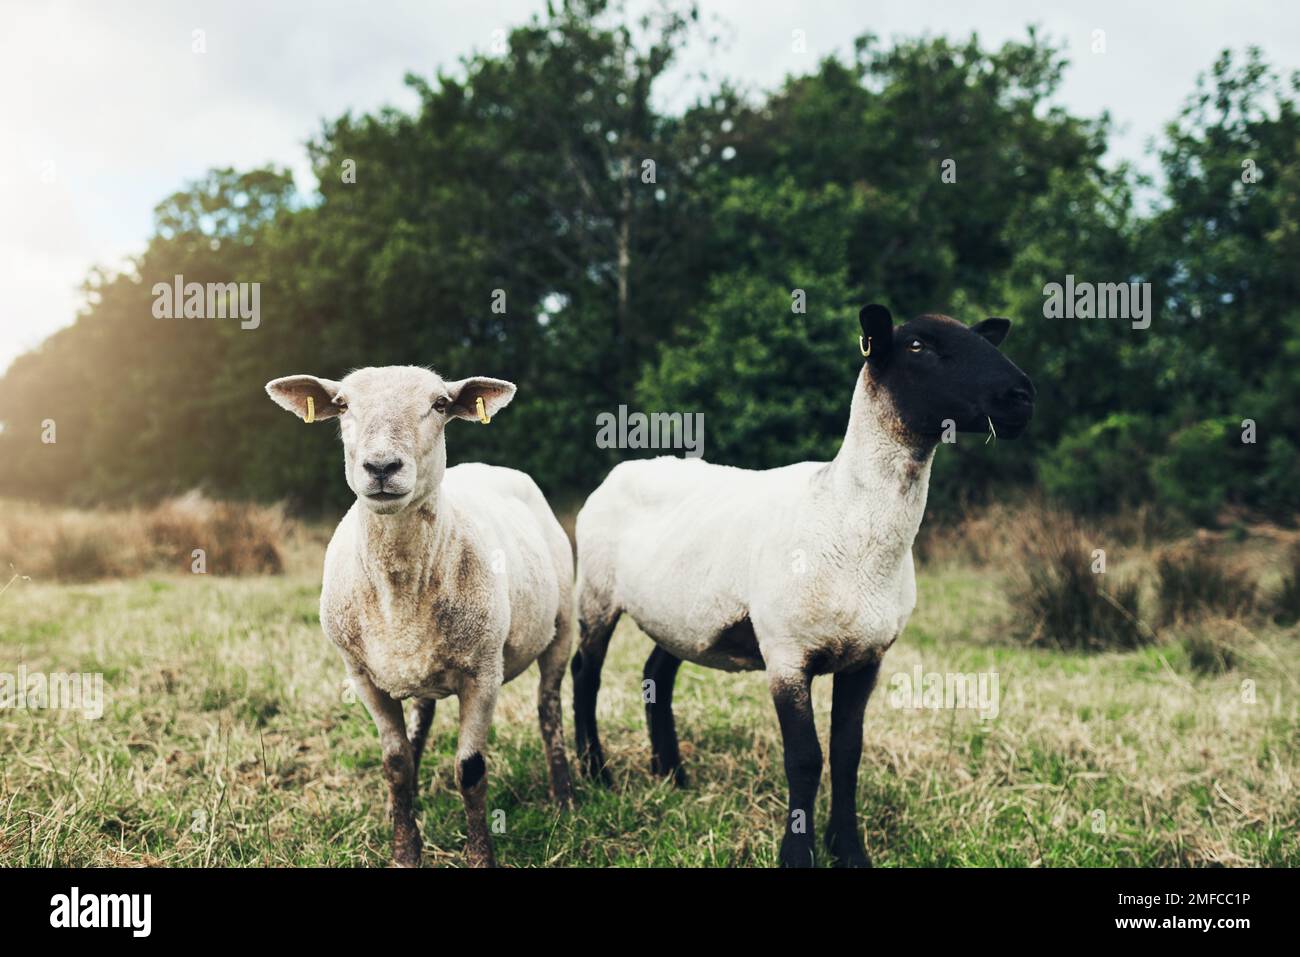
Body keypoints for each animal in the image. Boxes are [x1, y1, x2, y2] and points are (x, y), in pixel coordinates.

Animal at [266, 364, 572, 868]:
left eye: (440, 404)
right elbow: (396, 764)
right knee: (422, 717)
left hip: (563, 627)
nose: (381, 467)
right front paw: (405, 848)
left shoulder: (483, 673)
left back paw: (564, 797)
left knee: (549, 707)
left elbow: (471, 771)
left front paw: (480, 856)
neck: (401, 590)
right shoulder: (363, 677)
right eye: (343, 405)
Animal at [574, 306, 1040, 868]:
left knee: (655, 676)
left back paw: (673, 776)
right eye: (917, 346)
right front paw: (797, 853)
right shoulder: (786, 654)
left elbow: (847, 754)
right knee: (585, 674)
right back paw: (595, 774)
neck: (843, 511)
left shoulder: (867, 658)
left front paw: (851, 851)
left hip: (682, 614)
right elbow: (804, 759)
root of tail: (624, 467)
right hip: (597, 591)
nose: (1022, 396)